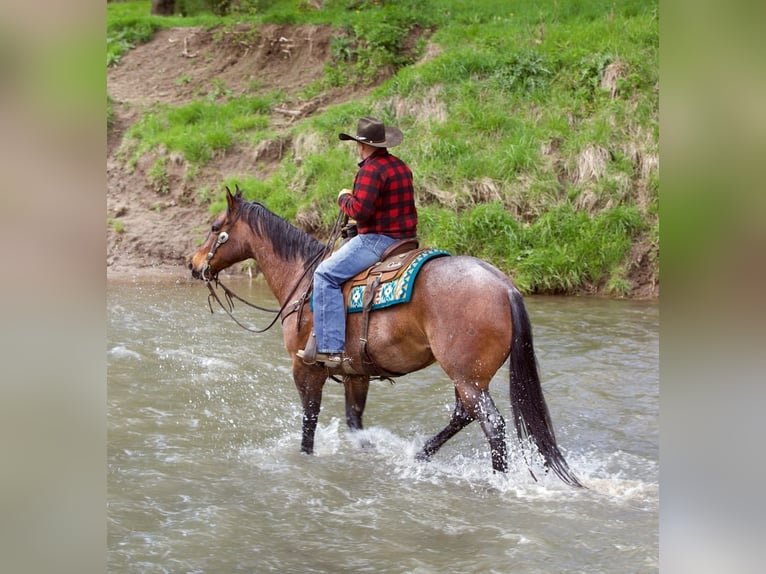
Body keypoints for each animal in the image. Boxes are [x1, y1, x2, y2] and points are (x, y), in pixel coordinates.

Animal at [188, 187, 583, 488]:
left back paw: (495, 481)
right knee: (463, 414)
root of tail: (503, 285)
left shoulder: (306, 369)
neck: (302, 280)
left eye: (215, 226)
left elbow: (309, 424)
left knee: (492, 425)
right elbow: (355, 423)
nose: (193, 264)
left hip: (467, 376)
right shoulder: (356, 374)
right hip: (469, 376)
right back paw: (420, 454)